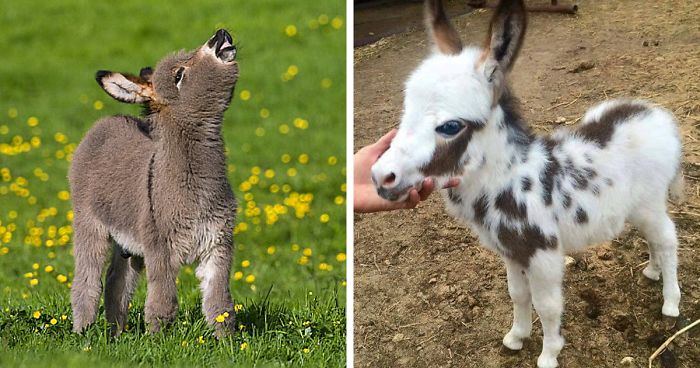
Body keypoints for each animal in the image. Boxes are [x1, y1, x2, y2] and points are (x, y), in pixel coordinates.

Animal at [71, 30, 241, 338]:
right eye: (179, 75)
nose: (220, 34)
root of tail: (106, 121)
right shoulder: (161, 249)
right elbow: (163, 302)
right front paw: (156, 341)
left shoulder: (218, 245)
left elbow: (220, 305)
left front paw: (228, 343)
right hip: (89, 223)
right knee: (87, 282)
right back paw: (83, 333)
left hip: (129, 245)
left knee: (117, 282)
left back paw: (115, 334)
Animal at [372, 1, 684, 366]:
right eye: (406, 110)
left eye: (450, 126)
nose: (380, 176)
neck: (510, 179)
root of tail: (658, 116)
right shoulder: (511, 251)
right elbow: (518, 295)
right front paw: (516, 337)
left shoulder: (542, 253)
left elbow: (547, 306)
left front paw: (549, 354)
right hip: (635, 207)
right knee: (652, 238)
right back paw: (652, 272)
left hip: (651, 201)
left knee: (667, 239)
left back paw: (671, 302)